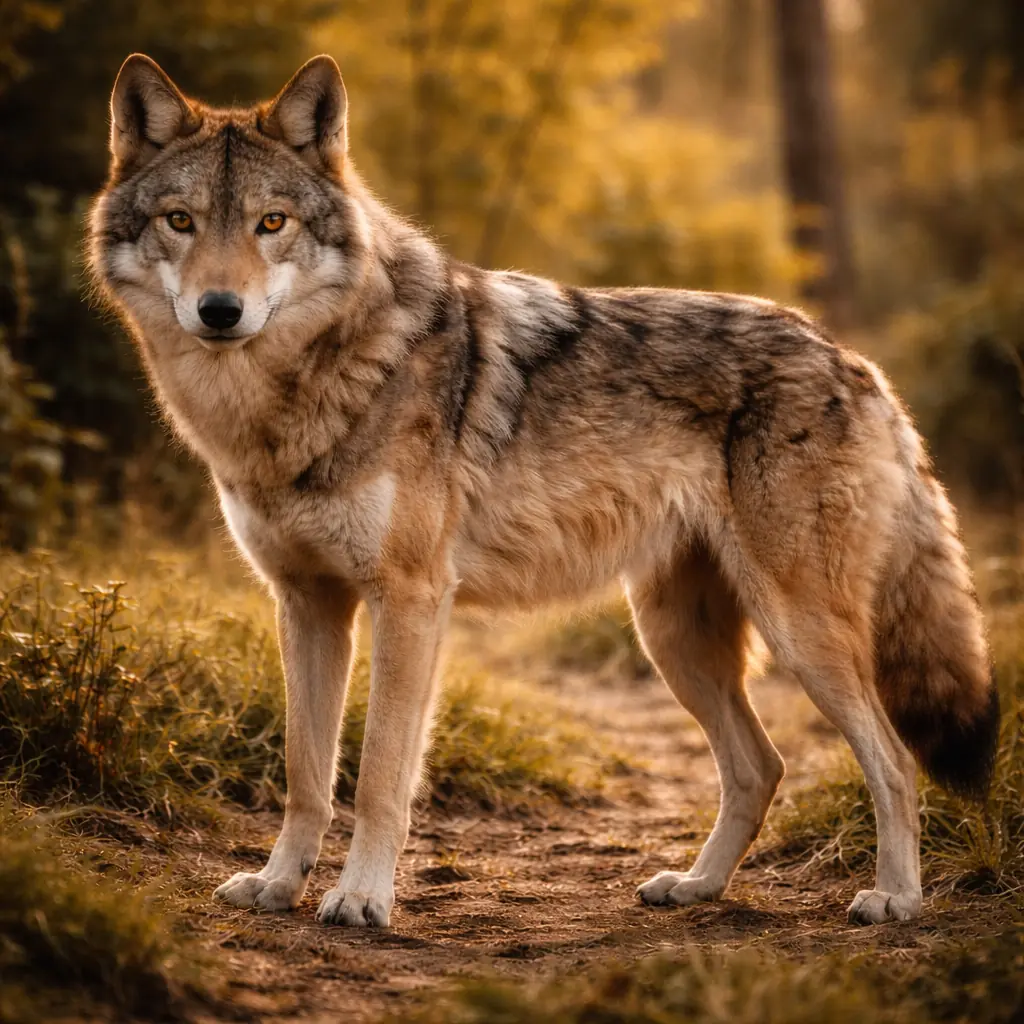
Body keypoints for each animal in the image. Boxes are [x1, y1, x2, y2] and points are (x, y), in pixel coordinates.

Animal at [89, 53, 1000, 929]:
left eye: (270, 224)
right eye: (181, 221)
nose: (220, 309)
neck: (297, 396)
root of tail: (856, 361)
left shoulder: (410, 600)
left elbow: (379, 774)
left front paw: (361, 900)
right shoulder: (307, 603)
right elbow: (306, 773)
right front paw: (279, 887)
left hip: (798, 632)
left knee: (893, 762)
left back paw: (895, 901)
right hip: (674, 639)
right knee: (761, 767)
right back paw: (697, 887)